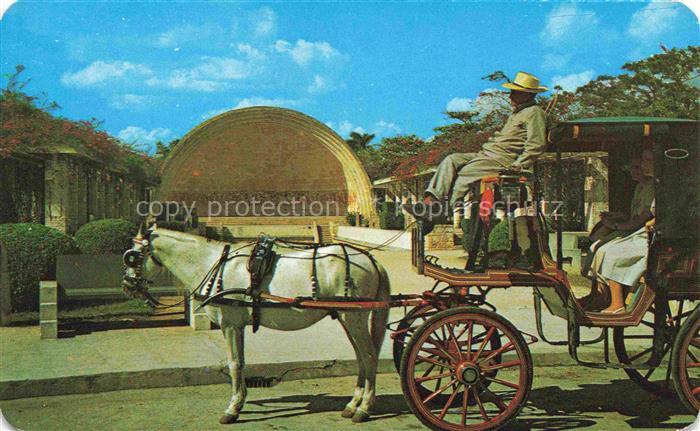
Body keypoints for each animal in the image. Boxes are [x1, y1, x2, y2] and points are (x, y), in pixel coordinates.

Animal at [122, 228, 392, 424]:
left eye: (132, 256)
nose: (127, 285)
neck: (214, 263)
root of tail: (371, 260)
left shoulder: (230, 324)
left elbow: (234, 363)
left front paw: (233, 408)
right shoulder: (237, 325)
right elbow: (240, 362)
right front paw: (240, 401)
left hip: (354, 318)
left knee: (369, 357)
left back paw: (364, 408)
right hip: (348, 318)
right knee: (361, 357)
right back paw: (352, 404)